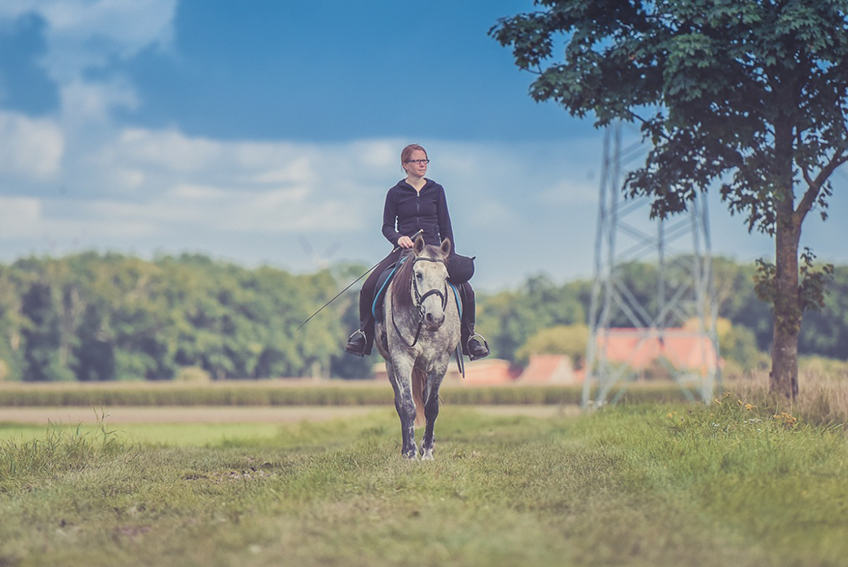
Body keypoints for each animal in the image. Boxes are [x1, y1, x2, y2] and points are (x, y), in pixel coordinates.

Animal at [374, 235, 460, 462]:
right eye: (418, 274)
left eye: (446, 277)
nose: (435, 318)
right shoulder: (401, 358)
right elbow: (408, 406)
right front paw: (411, 453)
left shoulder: (441, 361)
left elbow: (431, 407)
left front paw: (427, 451)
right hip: (390, 365)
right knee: (399, 402)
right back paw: (406, 449)